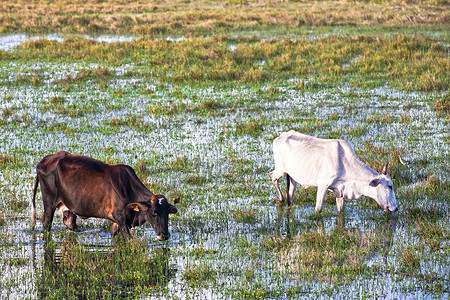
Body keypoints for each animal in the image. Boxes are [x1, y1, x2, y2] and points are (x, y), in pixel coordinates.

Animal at [30, 151, 179, 240]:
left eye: (168, 213)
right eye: (154, 213)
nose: (165, 235)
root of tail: (47, 159)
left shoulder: (117, 221)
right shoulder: (120, 217)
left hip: (67, 208)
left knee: (70, 223)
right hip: (49, 202)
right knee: (46, 223)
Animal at [268, 131, 396, 213]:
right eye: (390, 186)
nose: (396, 208)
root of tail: (281, 136)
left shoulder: (339, 191)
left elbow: (340, 210)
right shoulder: (323, 185)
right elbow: (318, 210)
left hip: (292, 176)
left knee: (290, 194)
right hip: (281, 170)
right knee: (272, 176)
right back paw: (280, 199)